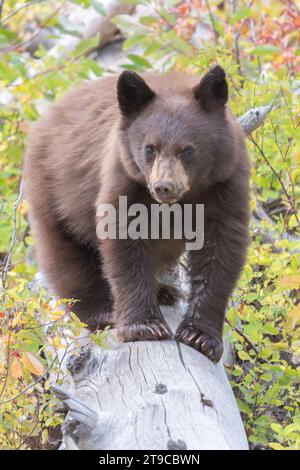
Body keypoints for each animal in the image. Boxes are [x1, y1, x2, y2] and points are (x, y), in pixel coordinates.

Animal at [23, 65, 250, 364]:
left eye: (188, 149)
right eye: (149, 148)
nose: (163, 186)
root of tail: (47, 115)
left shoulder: (226, 182)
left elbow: (221, 251)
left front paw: (200, 336)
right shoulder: (125, 176)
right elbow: (126, 243)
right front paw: (144, 326)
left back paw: (164, 291)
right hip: (55, 192)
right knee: (67, 254)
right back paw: (102, 311)